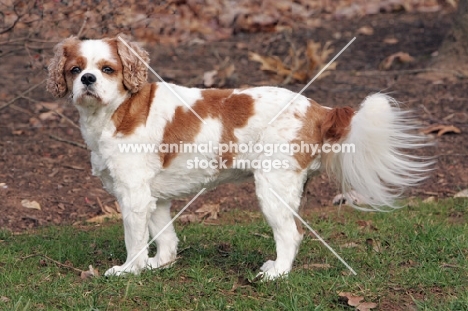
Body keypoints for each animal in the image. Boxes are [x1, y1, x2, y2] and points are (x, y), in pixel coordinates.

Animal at [46, 36, 428, 280]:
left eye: (107, 69)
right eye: (75, 69)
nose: (88, 79)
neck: (117, 110)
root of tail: (319, 109)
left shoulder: (134, 194)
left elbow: (134, 240)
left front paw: (128, 270)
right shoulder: (155, 197)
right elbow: (165, 237)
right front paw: (160, 264)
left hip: (272, 188)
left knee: (291, 235)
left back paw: (278, 273)